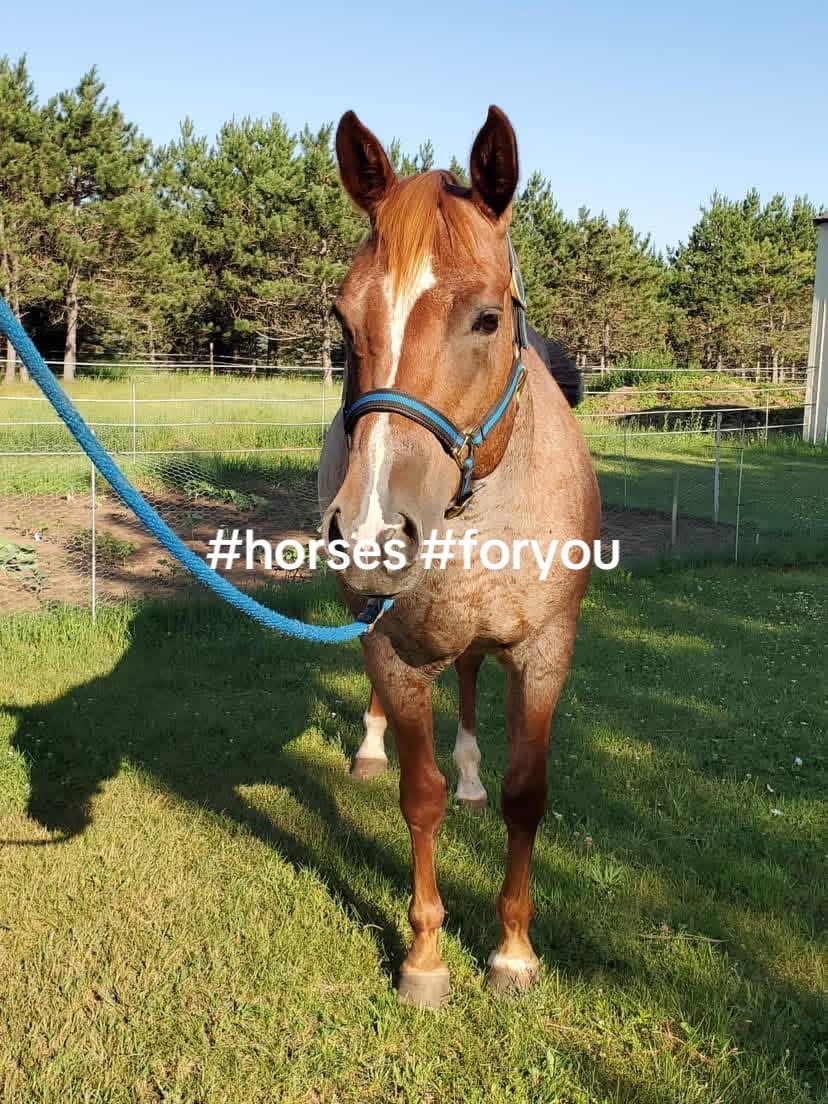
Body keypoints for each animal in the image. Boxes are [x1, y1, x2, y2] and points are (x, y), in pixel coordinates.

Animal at [318, 106, 600, 1007]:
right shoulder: (393, 647)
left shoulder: (545, 651)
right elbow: (420, 797)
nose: (374, 533)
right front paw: (425, 957)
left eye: (486, 318)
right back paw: (371, 749)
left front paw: (512, 952)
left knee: (473, 681)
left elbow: (525, 795)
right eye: (343, 319)